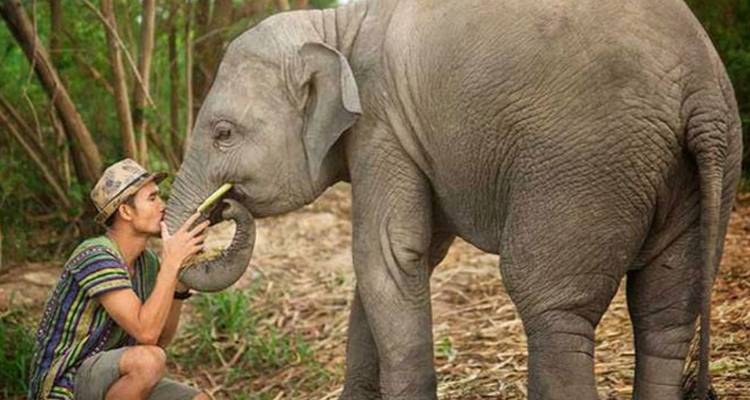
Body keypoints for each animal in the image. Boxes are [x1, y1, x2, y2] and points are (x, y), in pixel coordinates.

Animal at [164, 0, 742, 399]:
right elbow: (392, 267)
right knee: (665, 314)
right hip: (699, 173)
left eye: (222, 133)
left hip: (586, 165)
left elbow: (388, 254)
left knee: (552, 306)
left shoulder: (382, 125)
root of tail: (700, 92)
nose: (223, 205)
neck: (337, 26)